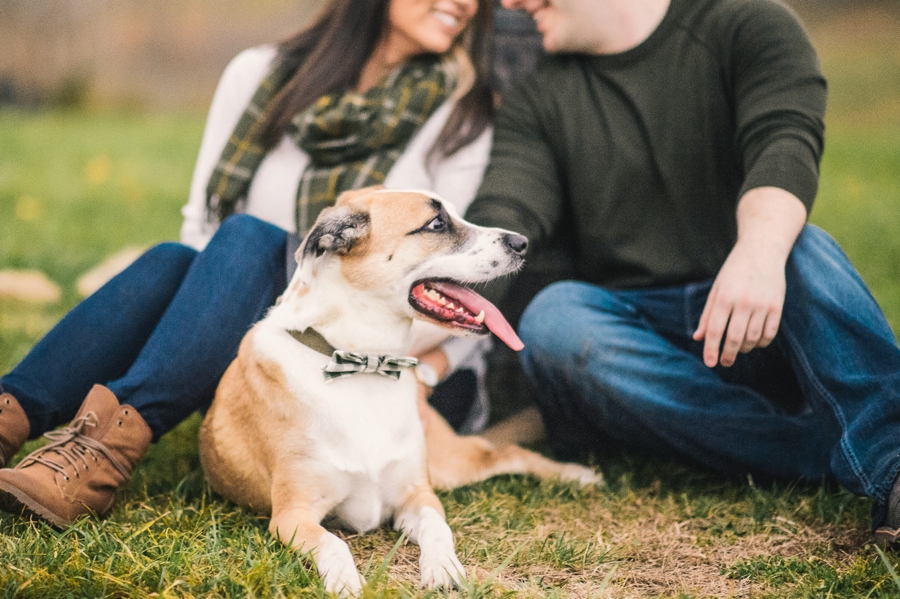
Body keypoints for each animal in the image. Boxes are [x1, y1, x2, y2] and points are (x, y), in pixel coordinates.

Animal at [200, 188, 600, 596]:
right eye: (436, 224)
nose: (522, 243)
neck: (366, 364)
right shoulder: (291, 515)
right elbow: (334, 543)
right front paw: (346, 582)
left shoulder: (419, 495)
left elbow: (439, 529)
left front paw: (443, 567)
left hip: (448, 468)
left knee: (509, 452)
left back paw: (574, 474)